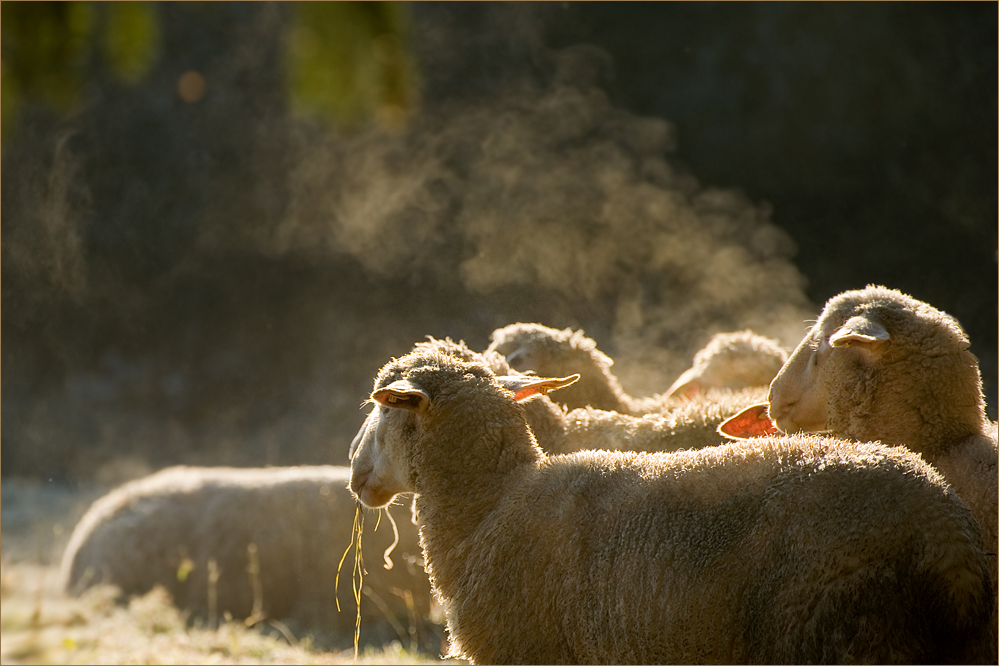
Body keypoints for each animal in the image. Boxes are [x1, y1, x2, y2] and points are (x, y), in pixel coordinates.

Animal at [348, 348, 996, 664]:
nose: (355, 475)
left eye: (382, 409)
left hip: (846, 630)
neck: (488, 506)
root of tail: (946, 532)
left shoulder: (522, 649)